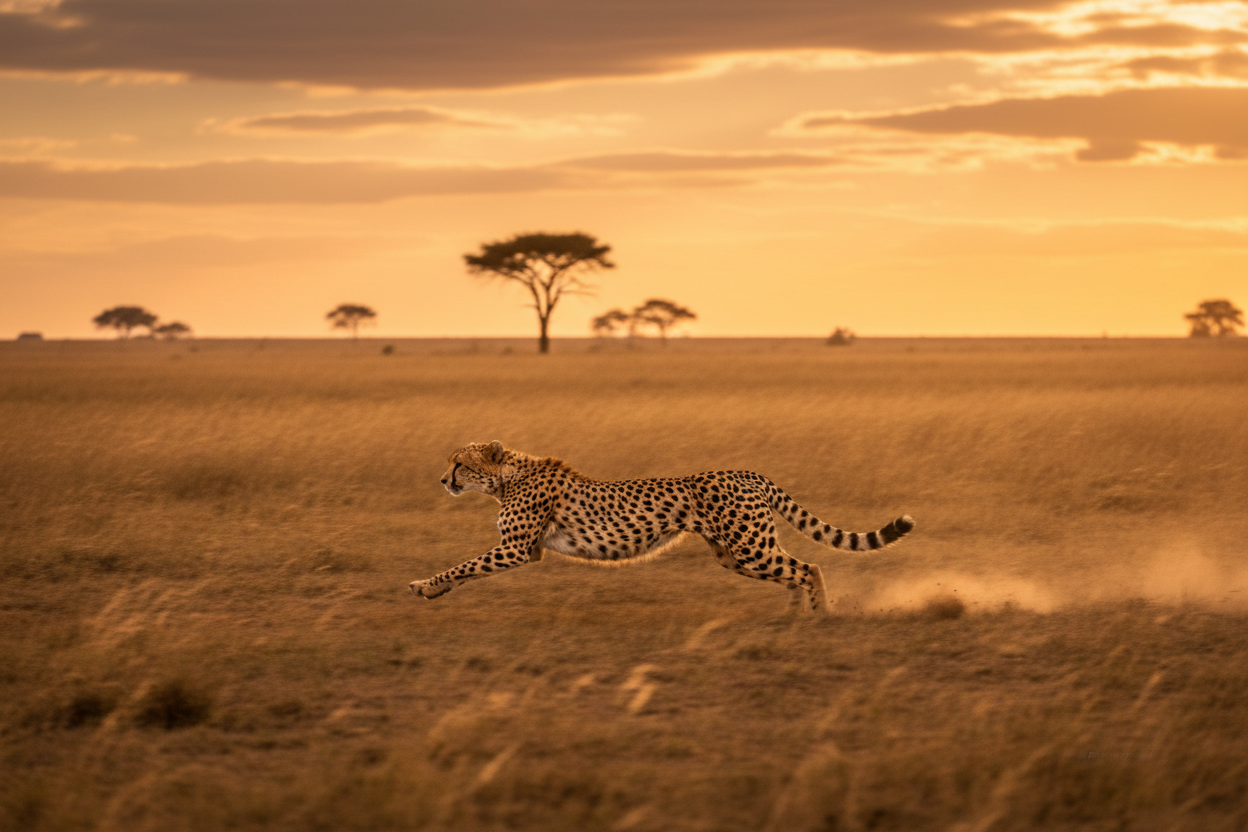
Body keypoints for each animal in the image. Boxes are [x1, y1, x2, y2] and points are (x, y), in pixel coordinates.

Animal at [409, 441, 914, 614]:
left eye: (459, 463)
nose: (442, 480)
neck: (508, 477)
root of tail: (747, 471)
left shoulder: (516, 549)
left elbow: (466, 565)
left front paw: (425, 586)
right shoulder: (523, 549)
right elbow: (469, 567)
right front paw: (435, 589)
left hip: (749, 546)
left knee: (809, 568)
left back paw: (819, 616)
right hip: (735, 554)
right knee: (794, 571)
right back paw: (791, 616)